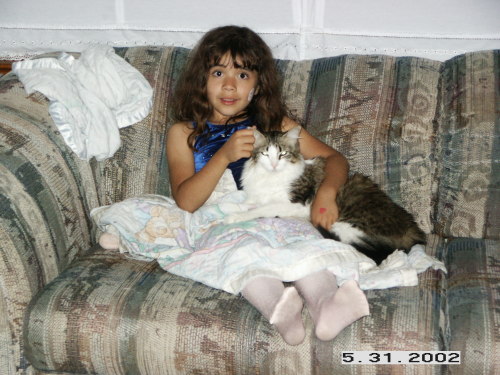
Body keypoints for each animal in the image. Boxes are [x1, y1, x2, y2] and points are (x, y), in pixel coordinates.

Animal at [225, 126, 428, 264]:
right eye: (266, 154)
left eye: (283, 154)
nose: (274, 165)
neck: (270, 177)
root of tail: (414, 230)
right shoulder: (255, 195)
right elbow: (247, 203)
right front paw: (230, 209)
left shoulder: (294, 203)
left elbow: (261, 209)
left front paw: (235, 217)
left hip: (347, 225)